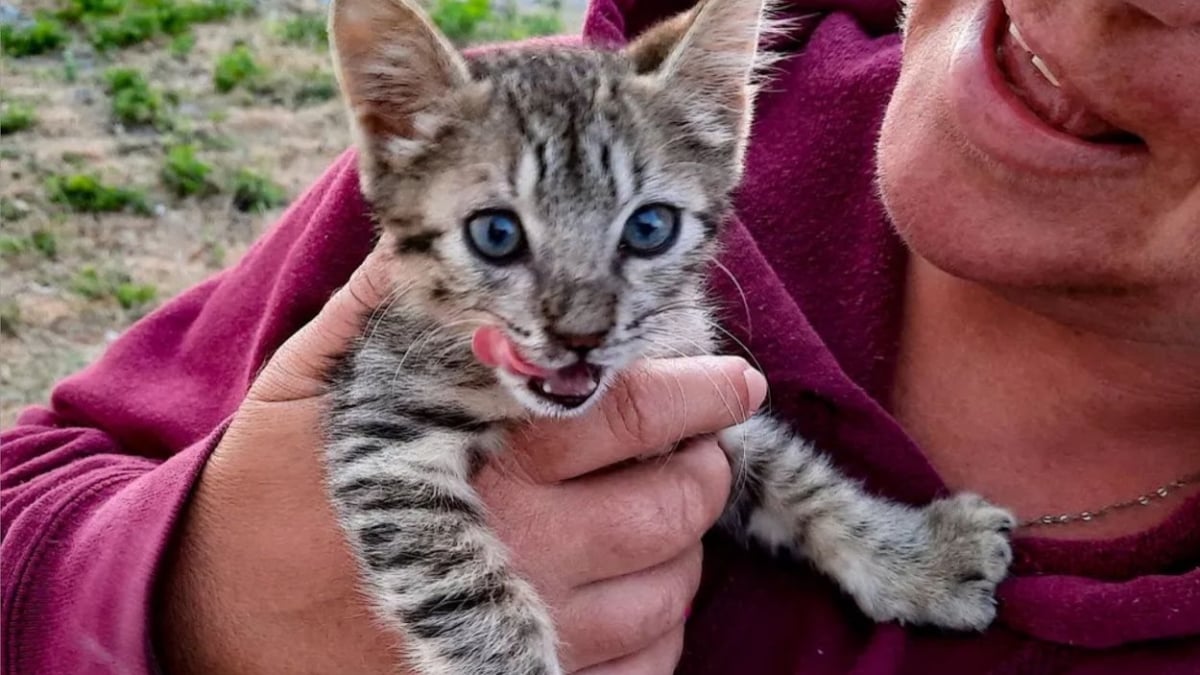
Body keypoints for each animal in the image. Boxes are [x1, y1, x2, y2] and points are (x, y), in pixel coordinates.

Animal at [324, 0, 1017, 667]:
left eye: (649, 227)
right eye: (495, 234)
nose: (581, 335)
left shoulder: (698, 387)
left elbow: (799, 477)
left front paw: (919, 560)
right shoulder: (381, 433)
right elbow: (465, 593)